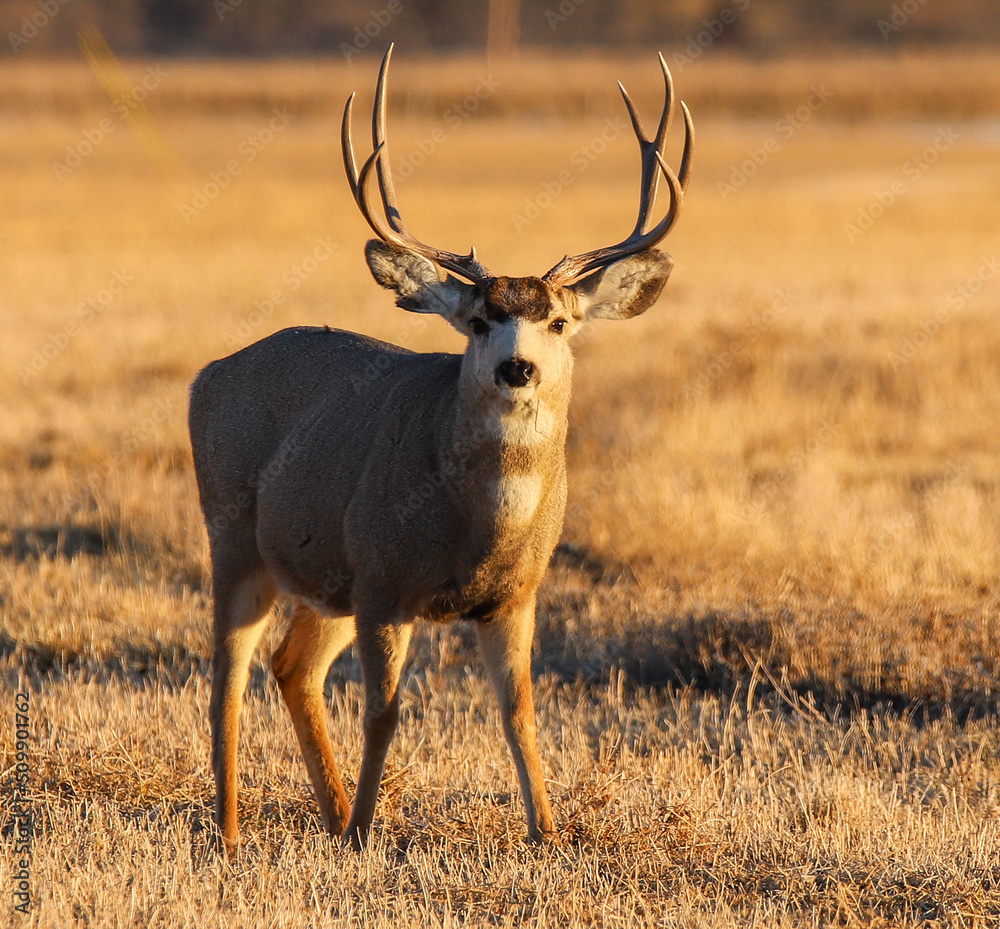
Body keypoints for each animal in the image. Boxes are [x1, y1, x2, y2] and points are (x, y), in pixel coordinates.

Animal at [188, 45, 693, 856]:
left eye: (557, 321)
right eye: (481, 319)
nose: (516, 368)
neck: (476, 529)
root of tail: (209, 371)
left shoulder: (512, 595)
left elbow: (520, 712)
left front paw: (548, 835)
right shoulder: (385, 582)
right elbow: (384, 711)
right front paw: (367, 833)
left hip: (329, 576)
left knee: (291, 666)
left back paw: (328, 814)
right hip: (235, 534)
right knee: (227, 675)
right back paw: (234, 836)